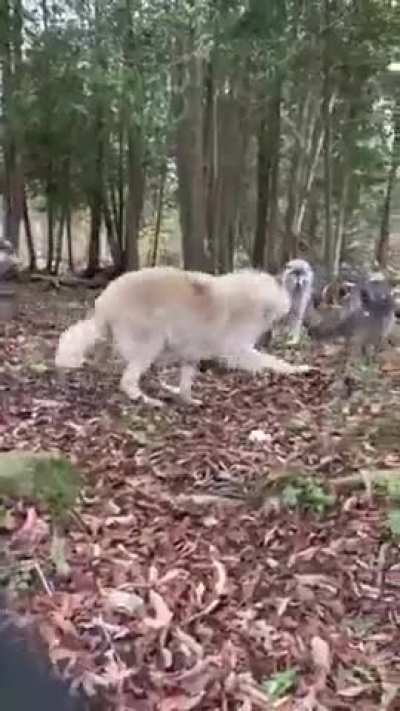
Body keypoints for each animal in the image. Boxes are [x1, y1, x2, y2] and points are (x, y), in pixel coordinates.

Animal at [55, 266, 312, 407]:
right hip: (151, 343)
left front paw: (188, 399)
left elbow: (187, 382)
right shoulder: (237, 350)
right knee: (127, 381)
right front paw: (298, 369)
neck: (254, 297)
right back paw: (147, 400)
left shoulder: (192, 353)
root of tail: (104, 302)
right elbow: (274, 361)